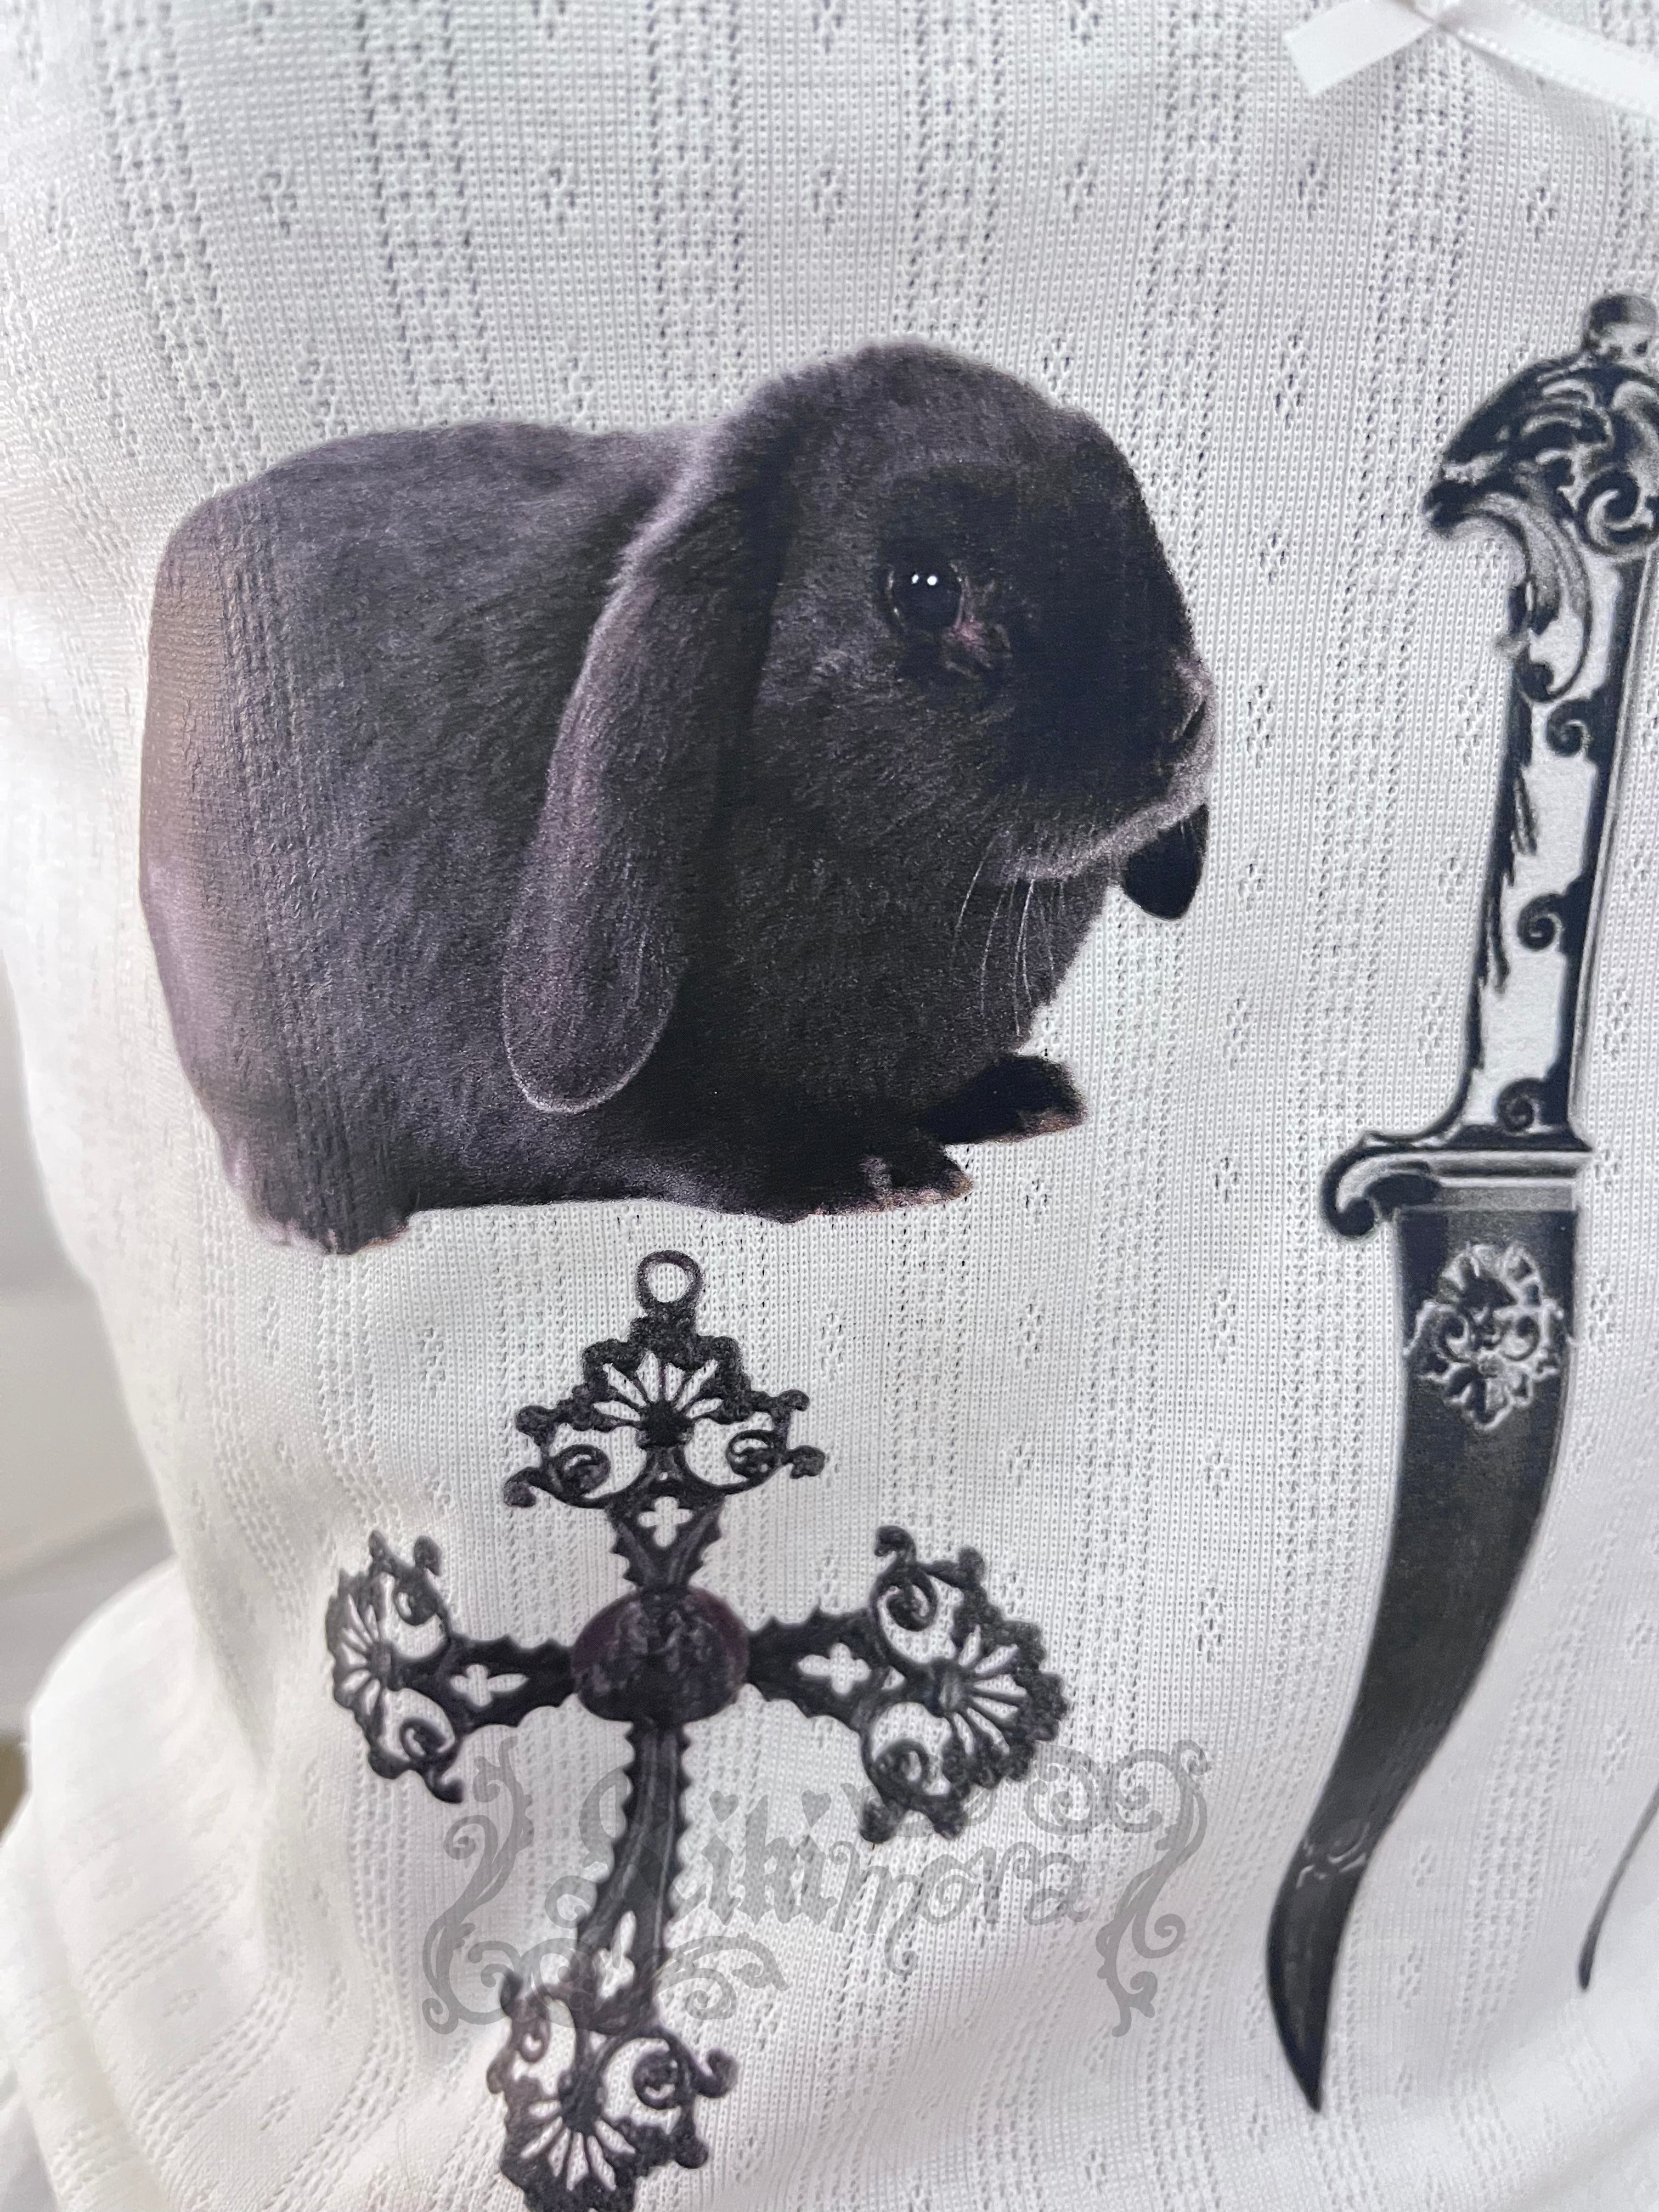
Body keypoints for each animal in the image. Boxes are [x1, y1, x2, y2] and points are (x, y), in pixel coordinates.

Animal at [140, 341, 1214, 1254]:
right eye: (922, 588)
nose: (1179, 721)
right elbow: (691, 1136)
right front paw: (876, 1168)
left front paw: (1019, 1096)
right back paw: (323, 1215)